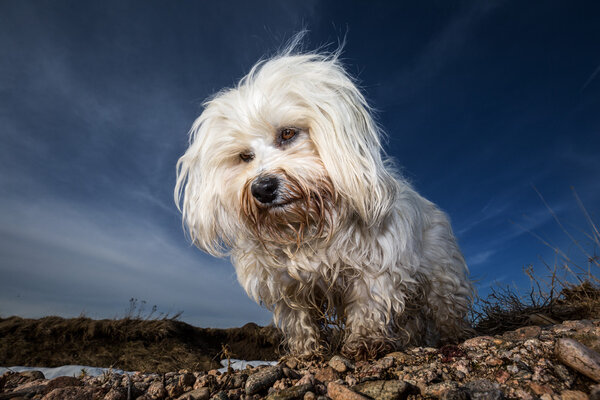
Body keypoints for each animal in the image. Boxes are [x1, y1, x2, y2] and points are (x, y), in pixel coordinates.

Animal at [173, 43, 474, 360]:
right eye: (244, 156)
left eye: (288, 133)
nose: (262, 188)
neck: (307, 224)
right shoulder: (286, 285)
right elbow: (298, 320)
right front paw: (305, 351)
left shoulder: (375, 267)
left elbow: (368, 305)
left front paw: (365, 342)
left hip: (442, 276)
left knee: (446, 308)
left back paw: (455, 335)